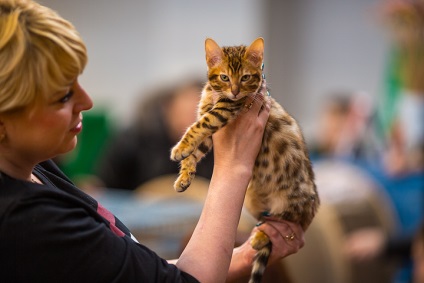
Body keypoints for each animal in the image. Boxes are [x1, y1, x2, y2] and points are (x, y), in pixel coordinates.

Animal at [169, 37, 318, 283]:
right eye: (224, 77)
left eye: (246, 77)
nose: (235, 91)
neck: (214, 93)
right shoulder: (210, 135)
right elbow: (195, 152)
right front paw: (184, 175)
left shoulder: (224, 109)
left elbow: (199, 126)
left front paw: (180, 148)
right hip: (251, 199)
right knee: (270, 220)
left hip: (295, 203)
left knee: (291, 222)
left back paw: (261, 237)